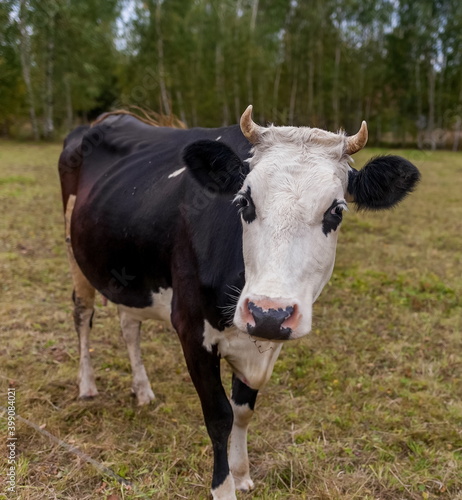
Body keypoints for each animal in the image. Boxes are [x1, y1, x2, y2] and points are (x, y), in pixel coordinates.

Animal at [56, 107, 418, 498]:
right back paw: (87, 385)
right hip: (74, 255)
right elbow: (219, 416)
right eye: (245, 202)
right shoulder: (191, 330)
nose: (270, 313)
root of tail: (110, 118)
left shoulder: (260, 337)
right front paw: (223, 487)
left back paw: (142, 390)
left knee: (129, 324)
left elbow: (243, 409)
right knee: (82, 315)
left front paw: (242, 473)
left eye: (336, 211)